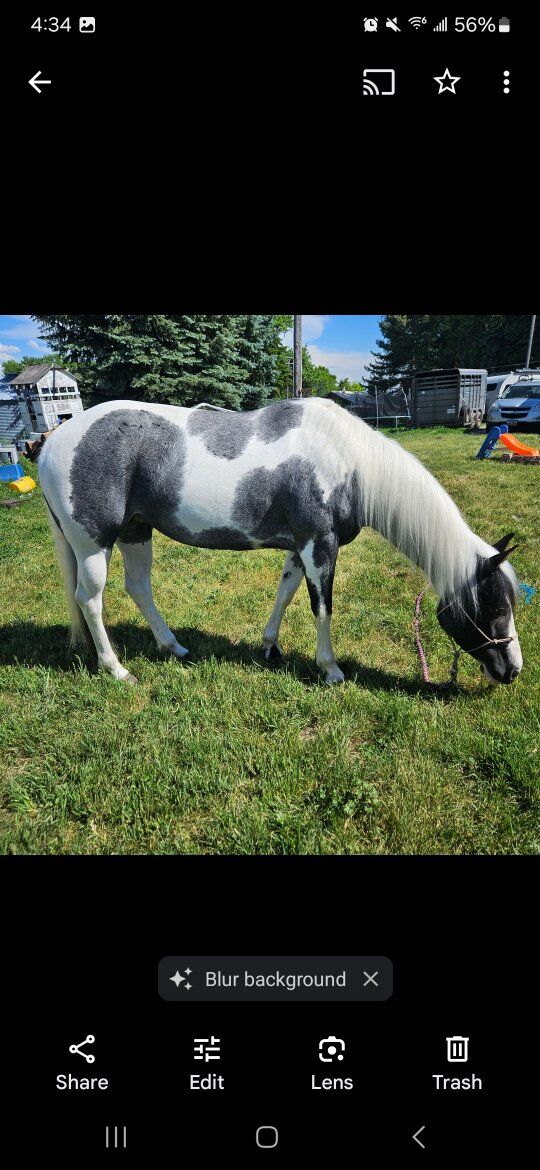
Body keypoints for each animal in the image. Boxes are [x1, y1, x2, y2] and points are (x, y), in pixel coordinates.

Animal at [38, 396, 523, 686]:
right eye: (494, 606)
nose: (513, 670)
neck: (347, 461)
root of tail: (50, 443)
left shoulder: (299, 546)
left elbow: (285, 593)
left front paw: (269, 646)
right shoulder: (320, 545)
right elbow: (322, 607)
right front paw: (330, 669)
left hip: (136, 532)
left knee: (138, 589)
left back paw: (173, 646)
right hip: (93, 544)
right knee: (90, 600)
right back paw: (116, 669)